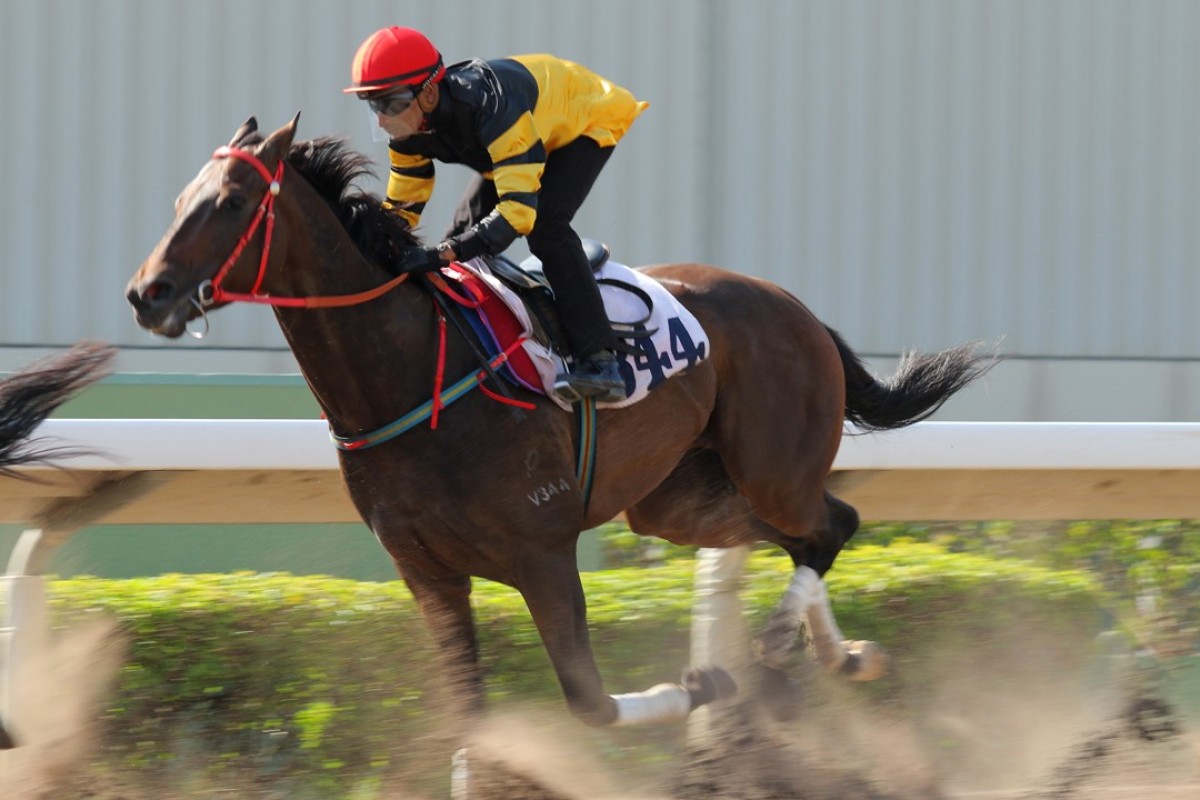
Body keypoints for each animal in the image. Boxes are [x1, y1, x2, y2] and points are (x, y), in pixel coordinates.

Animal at [121, 117, 988, 734]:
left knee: (833, 522)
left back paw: (787, 647)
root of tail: (798, 309)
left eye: (231, 203)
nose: (147, 293)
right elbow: (469, 715)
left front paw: (703, 681)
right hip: (674, 502)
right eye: (179, 202)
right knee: (798, 532)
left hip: (772, 467)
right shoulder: (427, 571)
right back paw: (838, 656)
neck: (409, 373)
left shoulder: (540, 551)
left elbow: (589, 701)